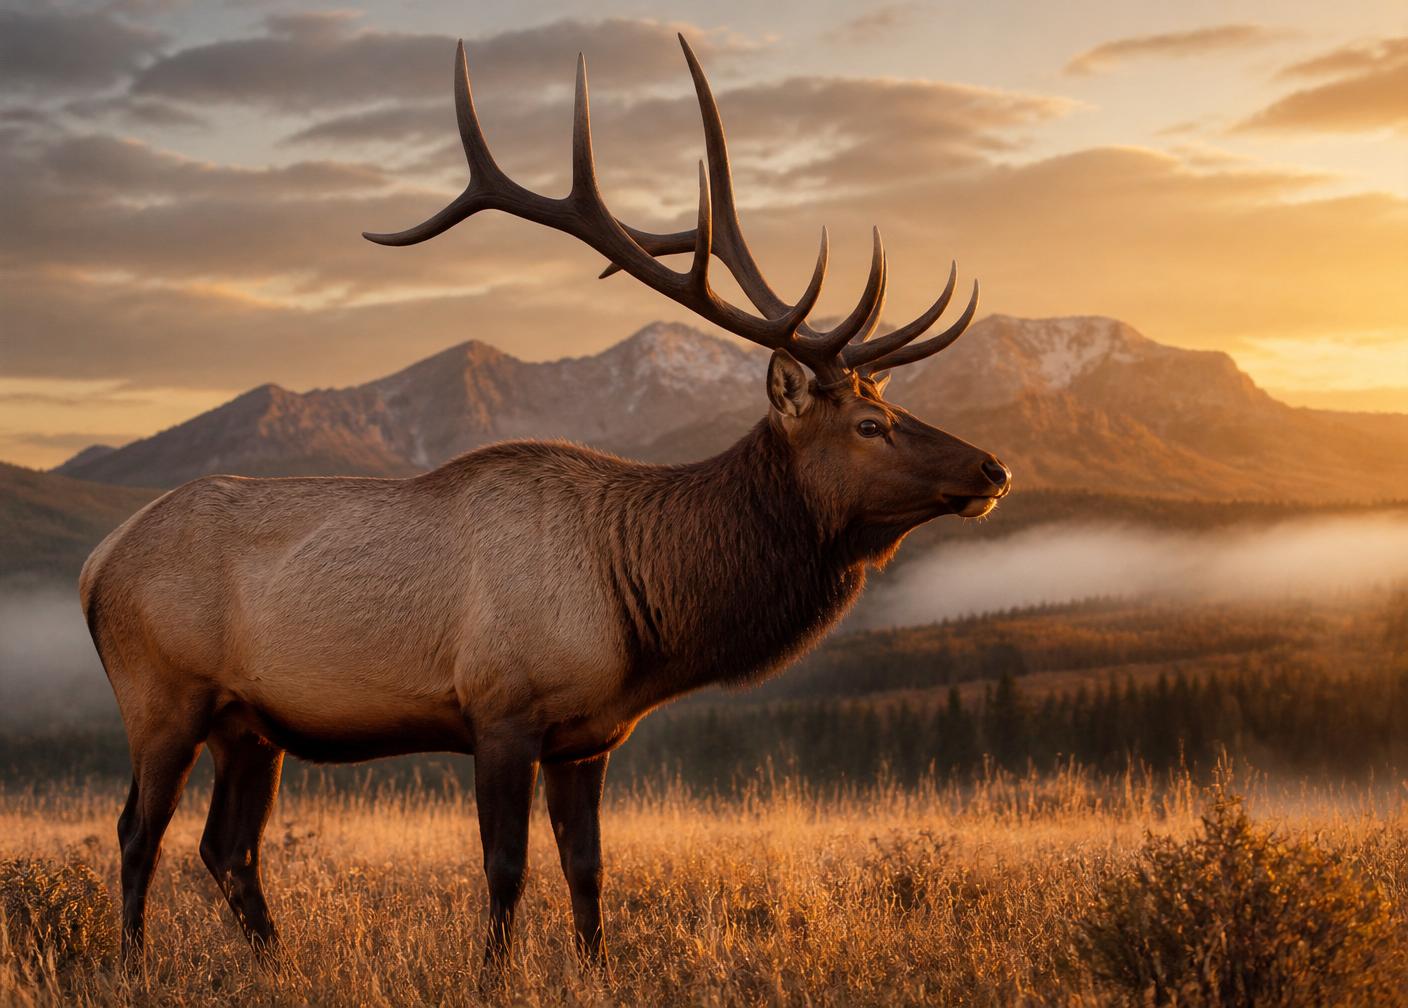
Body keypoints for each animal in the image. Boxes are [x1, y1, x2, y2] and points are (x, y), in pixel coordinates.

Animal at [80, 35, 1010, 975]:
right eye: (870, 423)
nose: (994, 468)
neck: (640, 608)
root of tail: (96, 563)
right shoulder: (500, 710)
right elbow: (506, 866)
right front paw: (493, 972)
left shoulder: (588, 736)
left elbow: (587, 870)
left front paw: (598, 967)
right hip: (163, 696)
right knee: (138, 832)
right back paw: (131, 962)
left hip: (251, 723)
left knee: (227, 848)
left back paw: (278, 964)